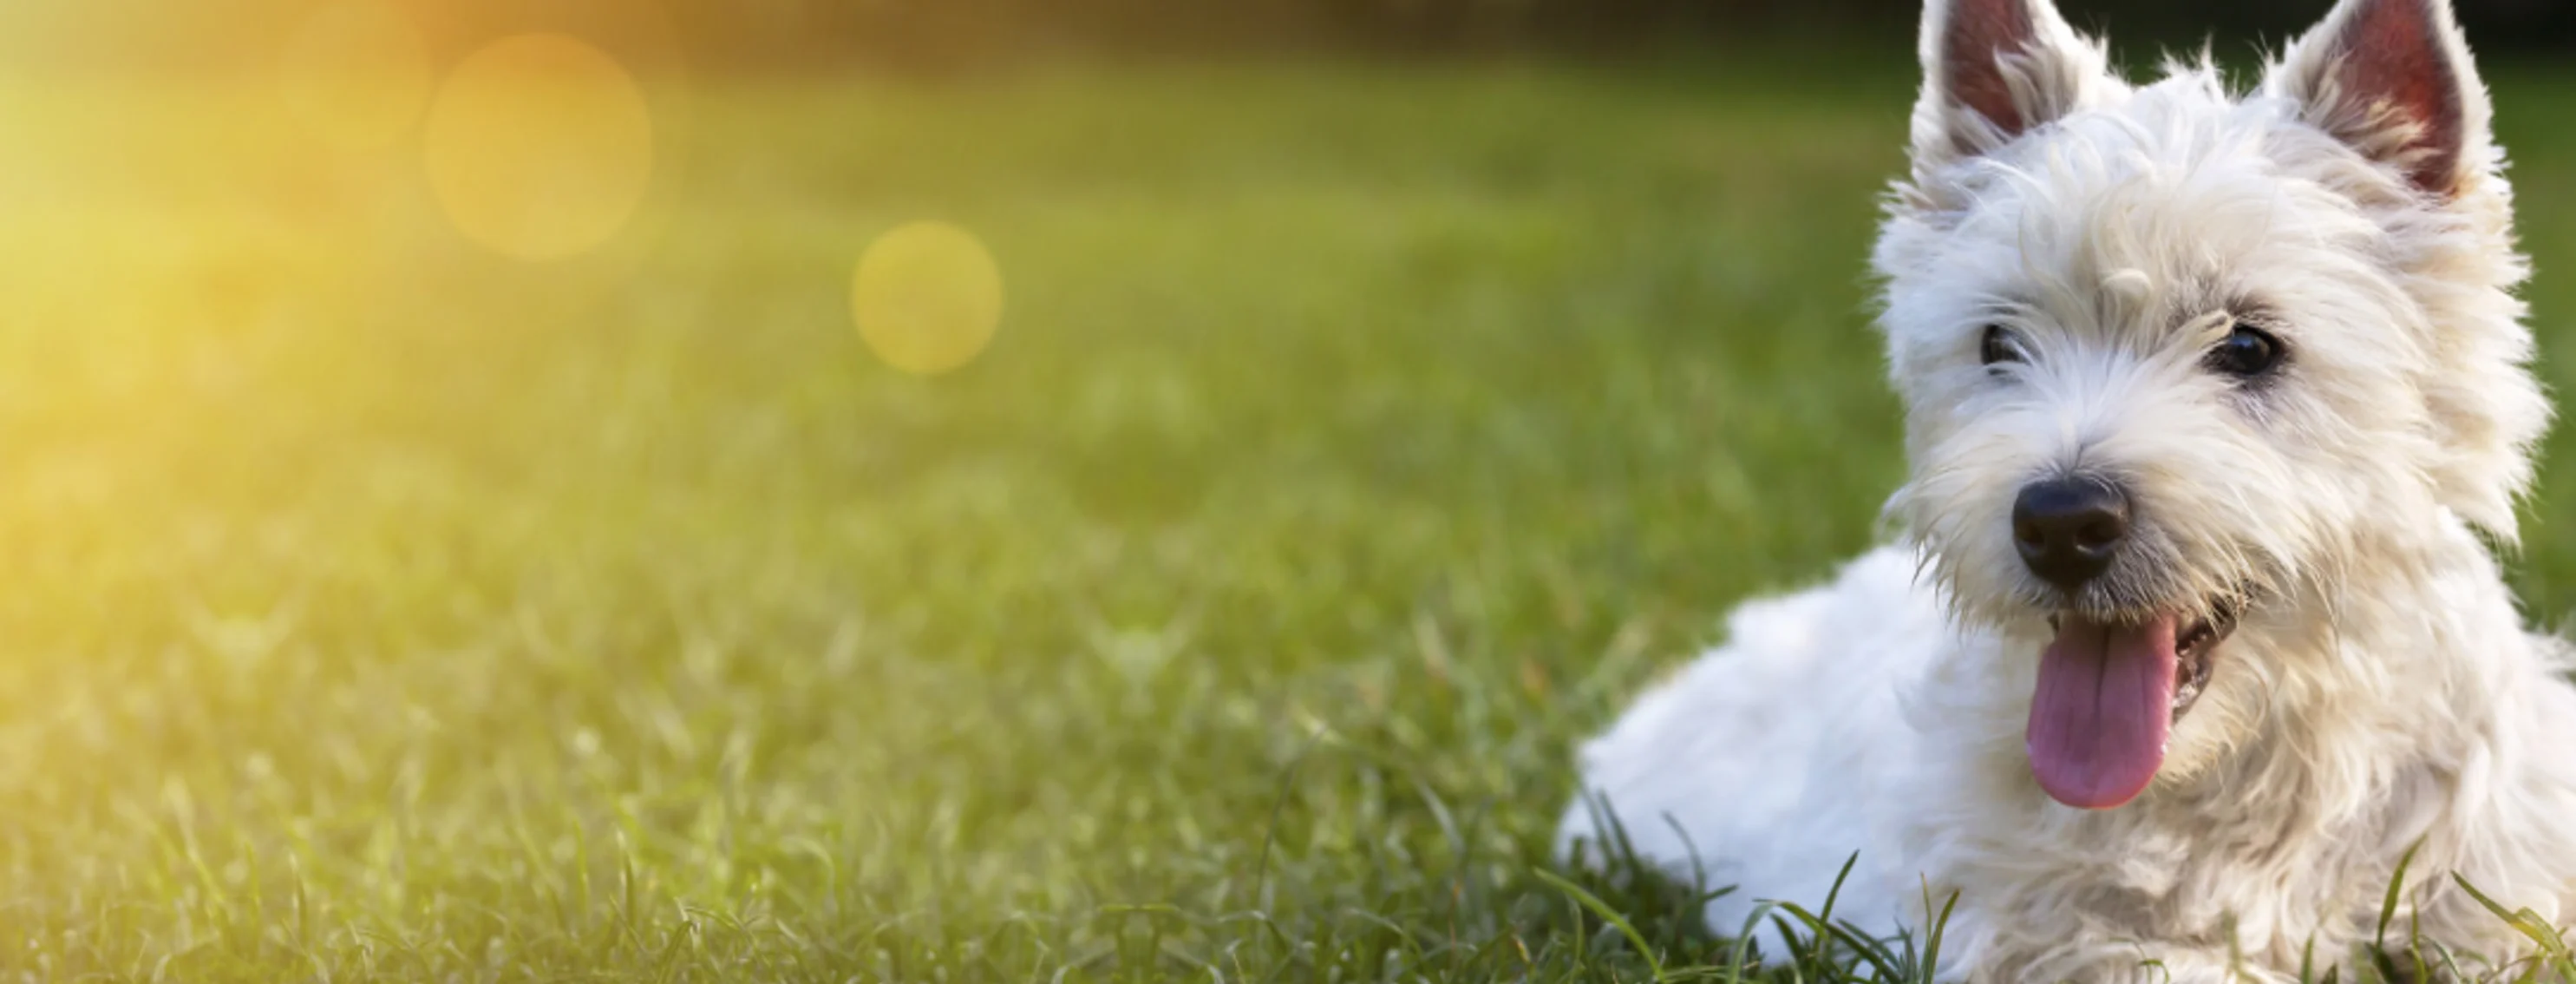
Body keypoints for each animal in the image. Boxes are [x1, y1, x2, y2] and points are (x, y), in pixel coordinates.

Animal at [1555, 2, 2576, 979]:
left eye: (2249, 345)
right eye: (1998, 342)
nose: (2060, 523)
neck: (2244, 770)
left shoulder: (2507, 897)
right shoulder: (2031, 936)